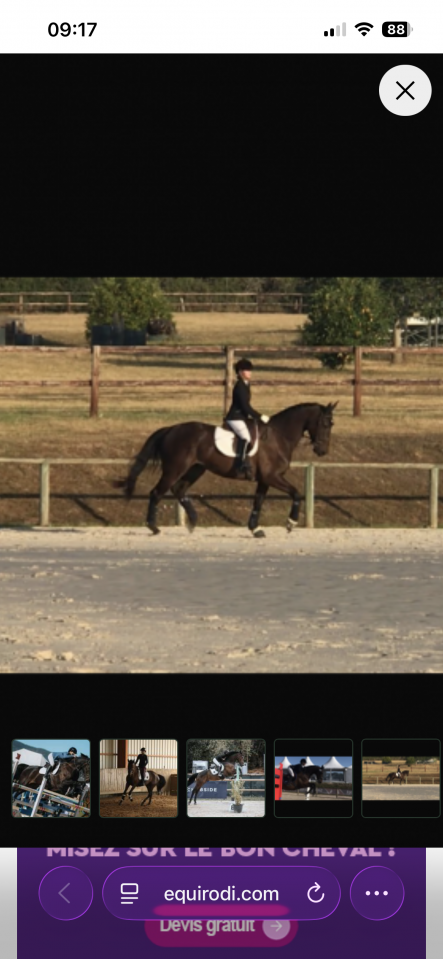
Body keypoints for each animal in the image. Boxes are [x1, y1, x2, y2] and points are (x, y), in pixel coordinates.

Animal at [115, 402, 337, 536]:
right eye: (326, 423)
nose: (322, 450)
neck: (278, 436)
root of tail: (170, 429)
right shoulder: (272, 477)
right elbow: (296, 493)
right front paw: (291, 523)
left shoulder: (264, 479)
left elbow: (258, 502)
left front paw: (255, 529)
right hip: (174, 469)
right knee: (157, 492)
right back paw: (153, 526)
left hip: (196, 469)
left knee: (179, 489)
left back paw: (192, 521)